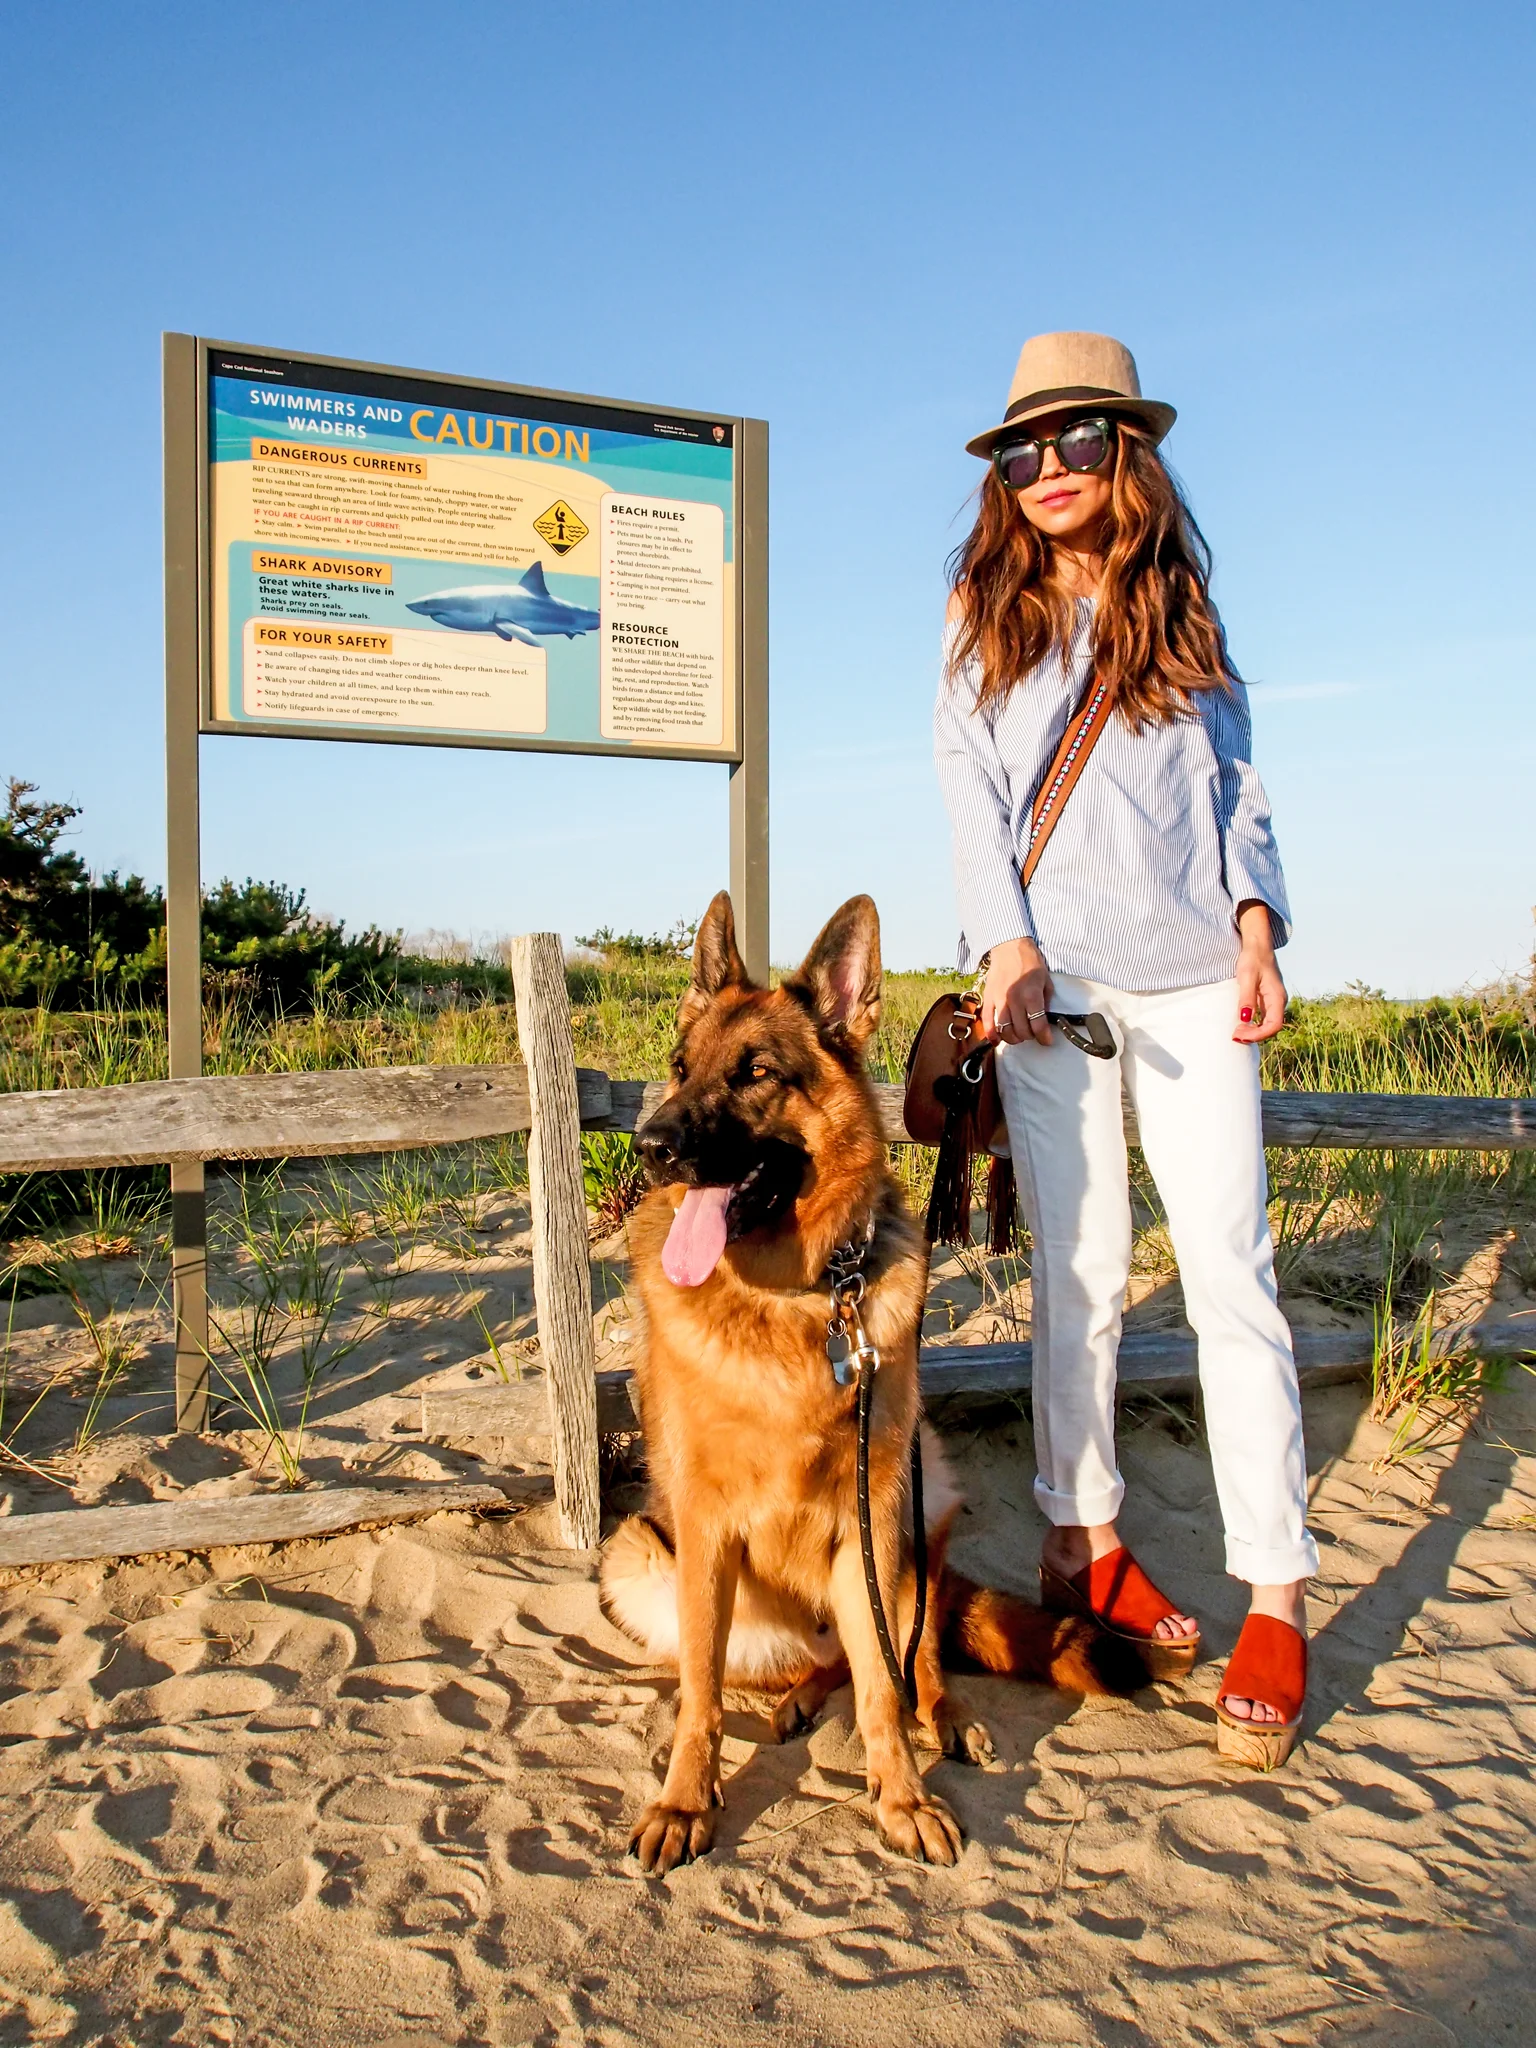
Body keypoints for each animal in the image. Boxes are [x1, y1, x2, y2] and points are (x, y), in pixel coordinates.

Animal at [600, 891, 1138, 1872]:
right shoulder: (702, 1531)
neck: (798, 1297)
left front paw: (901, 1796)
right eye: (679, 1069)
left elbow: (888, 1687)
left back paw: (944, 1717)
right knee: (817, 1663)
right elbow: (700, 1694)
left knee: (903, 1658)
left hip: (916, 1508)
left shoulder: (872, 1519)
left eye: (756, 1073)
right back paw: (798, 1698)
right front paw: (687, 1801)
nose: (652, 1148)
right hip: (643, 1562)